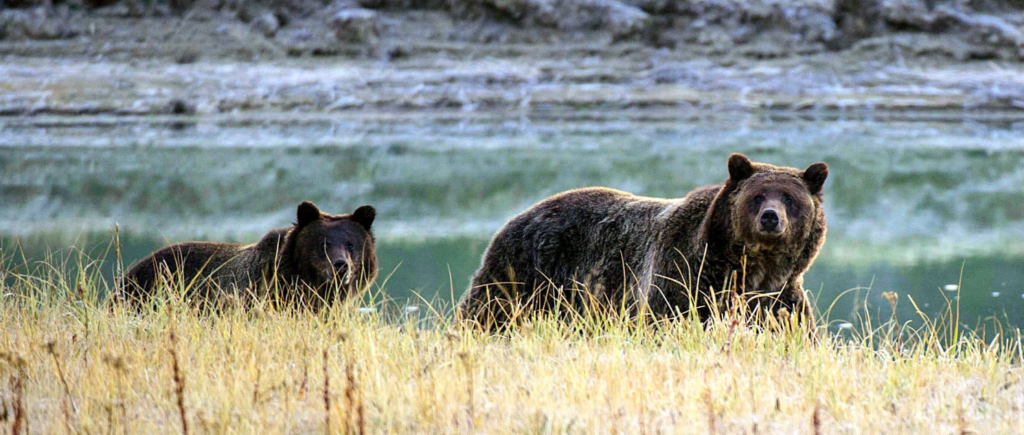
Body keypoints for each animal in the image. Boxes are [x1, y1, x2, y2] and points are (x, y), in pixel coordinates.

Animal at [459, 153, 828, 330]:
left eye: (789, 197)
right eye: (758, 195)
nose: (771, 218)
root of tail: (518, 216)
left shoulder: (779, 298)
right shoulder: (683, 277)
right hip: (525, 272)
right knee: (486, 312)